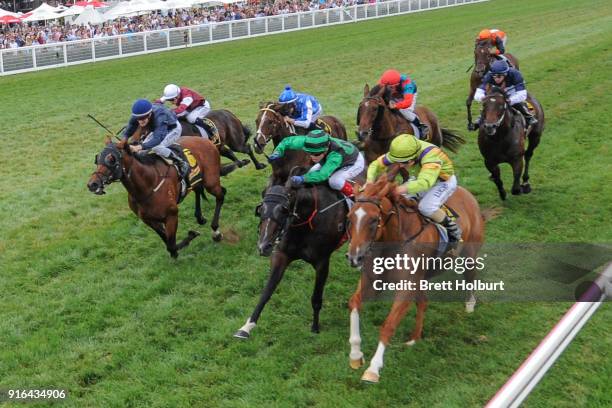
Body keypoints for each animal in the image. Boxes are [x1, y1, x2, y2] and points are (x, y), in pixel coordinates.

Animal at [87, 137, 235, 258]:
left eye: (111, 159)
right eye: (97, 158)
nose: (92, 184)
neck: (146, 186)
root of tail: (207, 141)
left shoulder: (171, 215)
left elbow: (172, 244)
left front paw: (191, 235)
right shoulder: (149, 220)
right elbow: (169, 244)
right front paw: (184, 242)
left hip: (211, 182)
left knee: (221, 195)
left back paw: (216, 231)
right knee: (200, 189)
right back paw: (200, 217)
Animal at [232, 166, 352, 338]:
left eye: (283, 209)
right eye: (260, 209)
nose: (263, 246)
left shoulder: (322, 262)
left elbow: (316, 298)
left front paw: (315, 327)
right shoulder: (281, 255)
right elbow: (266, 292)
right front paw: (246, 327)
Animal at [346, 175, 486, 382]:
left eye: (373, 219)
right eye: (349, 218)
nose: (354, 257)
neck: (395, 240)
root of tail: (467, 194)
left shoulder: (406, 286)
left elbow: (389, 325)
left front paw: (373, 368)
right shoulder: (372, 280)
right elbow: (354, 303)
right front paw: (356, 354)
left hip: (469, 254)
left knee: (470, 276)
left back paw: (470, 304)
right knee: (423, 301)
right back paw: (414, 338)